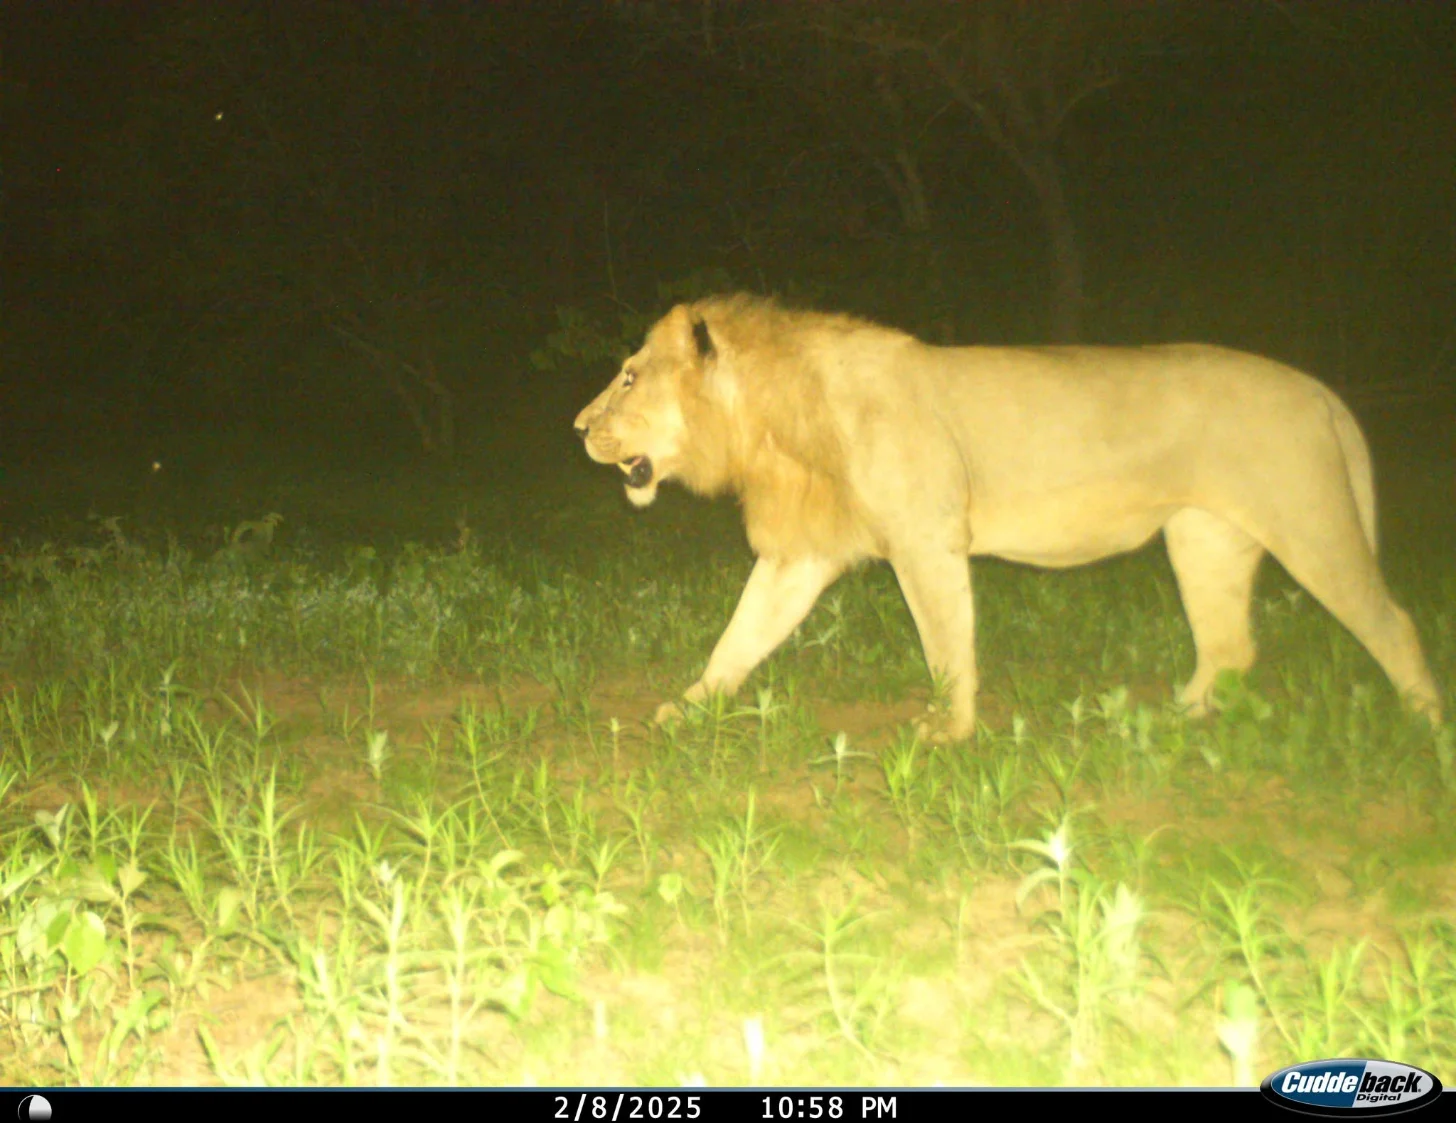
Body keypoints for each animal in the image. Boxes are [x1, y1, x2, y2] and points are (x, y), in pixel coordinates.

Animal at [573, 294, 1443, 739]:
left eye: (628, 377)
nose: (578, 427)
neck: (774, 425)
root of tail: (1319, 389)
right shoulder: (802, 556)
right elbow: (741, 635)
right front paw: (689, 707)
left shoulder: (926, 539)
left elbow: (945, 641)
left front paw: (949, 731)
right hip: (1204, 540)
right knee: (1229, 645)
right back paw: (1170, 720)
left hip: (1309, 521)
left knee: (1392, 621)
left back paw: (1426, 730)